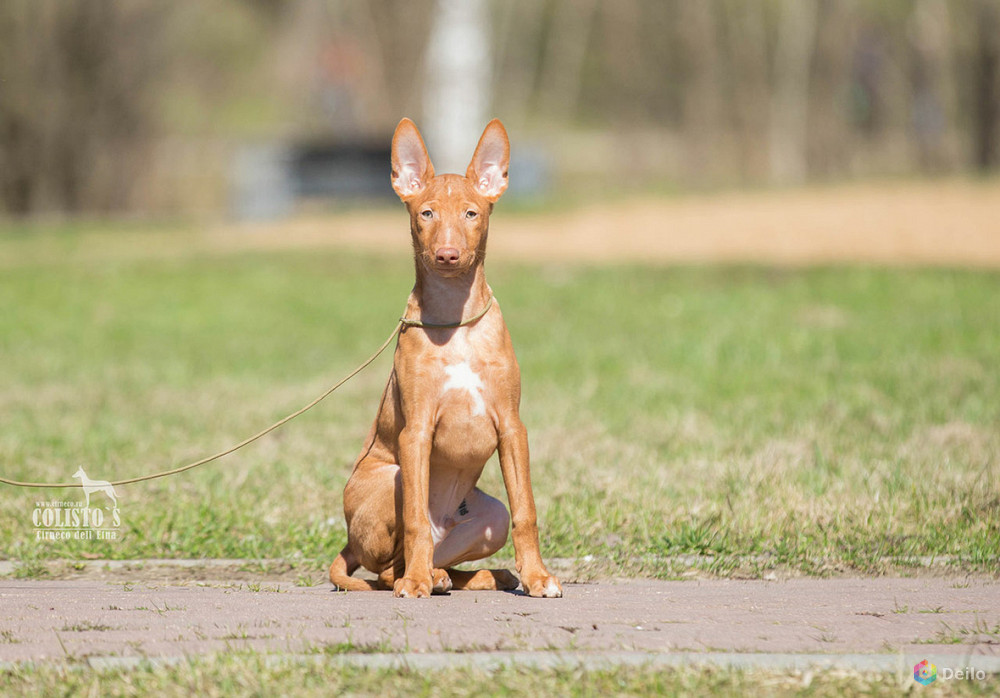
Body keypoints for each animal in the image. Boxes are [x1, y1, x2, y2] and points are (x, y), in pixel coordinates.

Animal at [328, 117, 564, 596]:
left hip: (490, 516)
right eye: (427, 213)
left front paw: (537, 577)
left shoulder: (512, 427)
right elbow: (415, 519)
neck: (456, 325)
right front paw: (416, 582)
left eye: (471, 213)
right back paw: (424, 576)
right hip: (393, 477)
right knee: (391, 565)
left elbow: (527, 513)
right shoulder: (415, 432)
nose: (448, 255)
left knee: (445, 551)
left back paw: (478, 575)